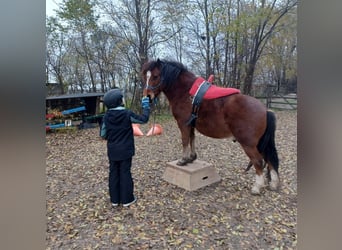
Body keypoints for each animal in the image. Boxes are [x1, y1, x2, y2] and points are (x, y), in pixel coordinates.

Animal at [140, 59, 280, 195]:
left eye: (156, 76)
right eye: (145, 76)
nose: (147, 96)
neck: (185, 92)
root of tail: (265, 110)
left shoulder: (183, 124)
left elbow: (185, 140)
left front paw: (183, 160)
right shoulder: (191, 125)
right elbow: (192, 139)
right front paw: (191, 158)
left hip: (248, 144)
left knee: (258, 161)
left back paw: (257, 187)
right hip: (261, 143)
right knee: (269, 159)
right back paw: (273, 184)